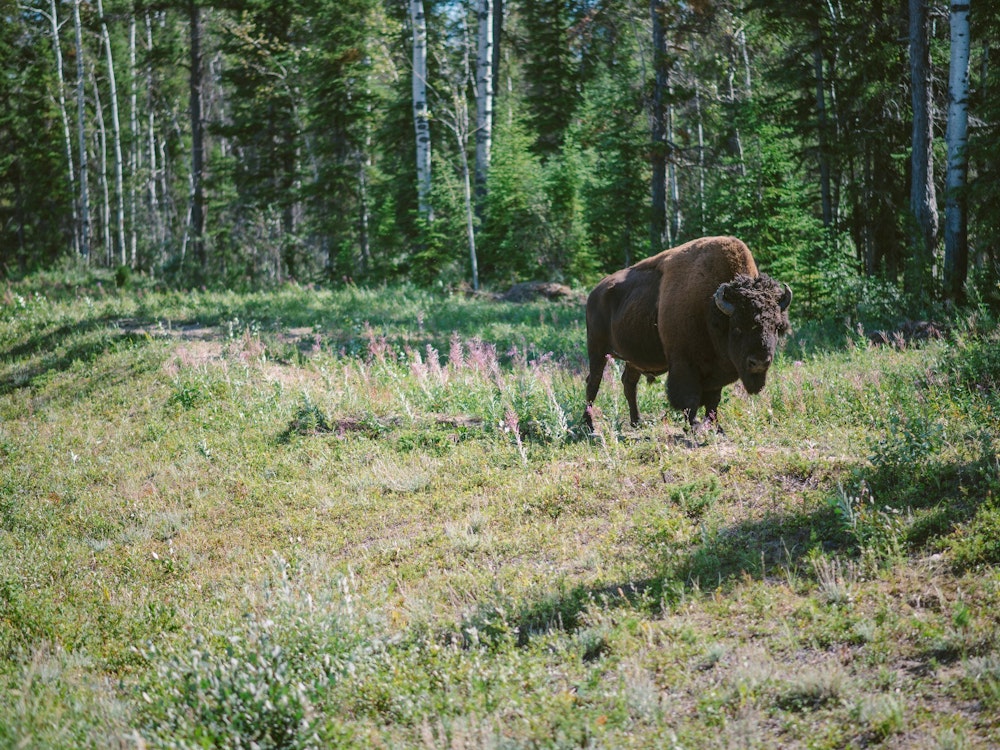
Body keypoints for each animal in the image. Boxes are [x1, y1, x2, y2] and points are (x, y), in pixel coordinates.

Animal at [582, 236, 791, 431]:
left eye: (776, 327)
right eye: (738, 326)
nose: (759, 362)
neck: (711, 310)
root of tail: (595, 292)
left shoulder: (715, 372)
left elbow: (713, 401)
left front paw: (716, 427)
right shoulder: (684, 365)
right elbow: (690, 399)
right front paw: (695, 426)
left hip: (633, 358)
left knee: (629, 384)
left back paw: (636, 422)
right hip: (597, 349)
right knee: (593, 383)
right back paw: (589, 426)